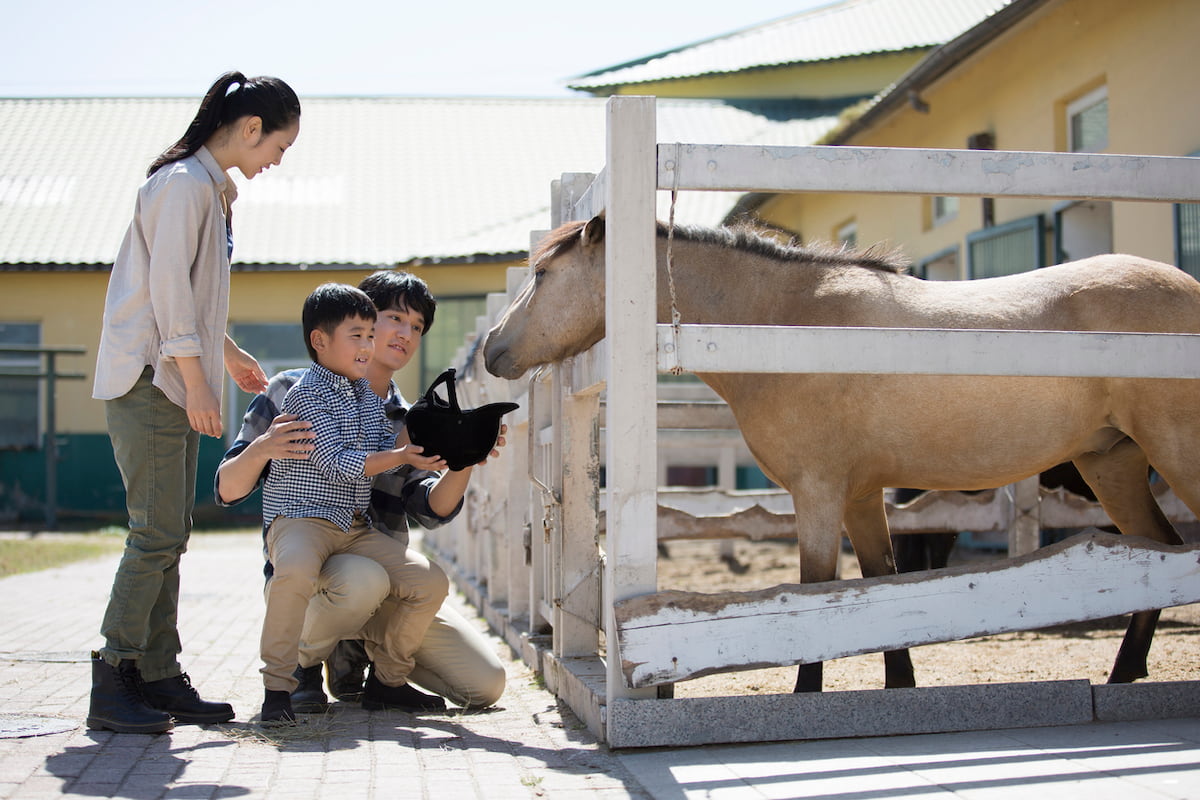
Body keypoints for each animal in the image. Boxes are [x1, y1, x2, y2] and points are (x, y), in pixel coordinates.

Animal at [480, 214, 1200, 695]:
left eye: (542, 274)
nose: (491, 349)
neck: (785, 326)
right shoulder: (859, 492)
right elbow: (880, 581)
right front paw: (899, 686)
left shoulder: (819, 490)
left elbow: (815, 589)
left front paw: (809, 695)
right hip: (1112, 463)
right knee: (1156, 554)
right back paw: (1124, 674)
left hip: (1174, 452)